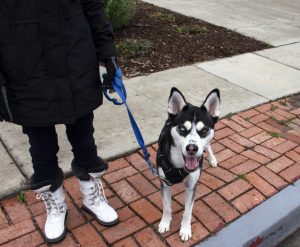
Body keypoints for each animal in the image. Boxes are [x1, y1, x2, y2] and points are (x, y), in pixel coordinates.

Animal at [157, 87, 220, 241]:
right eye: (182, 128)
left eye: (204, 130)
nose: (192, 148)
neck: (180, 165)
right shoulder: (164, 183)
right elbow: (166, 207)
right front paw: (165, 223)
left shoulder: (192, 186)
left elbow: (187, 212)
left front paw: (185, 230)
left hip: (206, 146)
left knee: (208, 146)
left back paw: (212, 159)